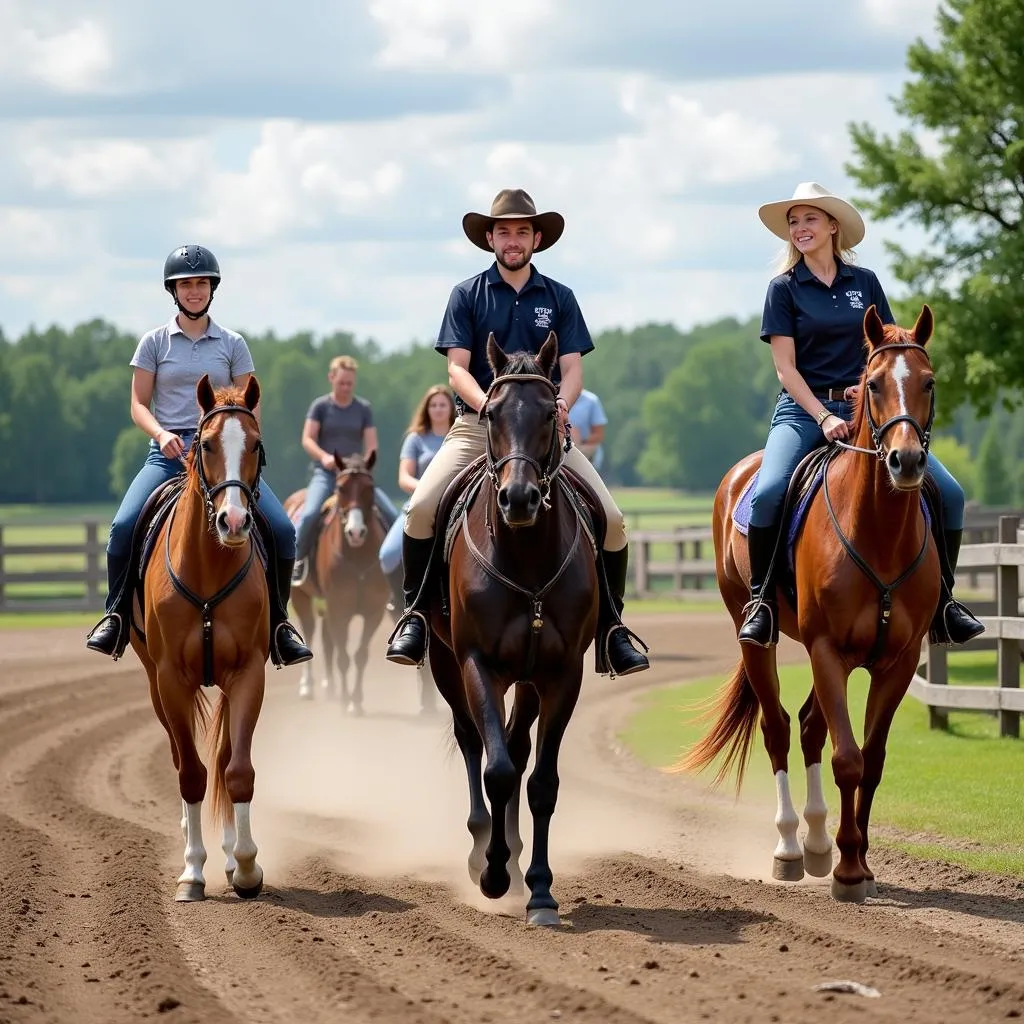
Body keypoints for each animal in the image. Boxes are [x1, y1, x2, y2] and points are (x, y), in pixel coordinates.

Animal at [130, 372, 270, 901]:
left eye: (255, 444)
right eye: (206, 444)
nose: (233, 521)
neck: (209, 568)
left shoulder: (247, 673)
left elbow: (236, 770)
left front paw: (245, 865)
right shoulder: (171, 679)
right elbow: (191, 774)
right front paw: (192, 872)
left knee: (226, 759)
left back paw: (230, 858)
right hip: (154, 682)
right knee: (179, 757)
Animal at [286, 452, 389, 716]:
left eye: (370, 488)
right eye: (341, 488)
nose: (356, 532)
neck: (358, 555)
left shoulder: (374, 611)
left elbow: (360, 655)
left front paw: (356, 701)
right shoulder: (338, 608)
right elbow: (343, 656)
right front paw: (346, 702)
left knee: (326, 640)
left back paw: (330, 687)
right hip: (302, 597)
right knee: (310, 632)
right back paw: (308, 687)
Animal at [425, 333, 598, 929]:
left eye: (549, 413)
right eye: (492, 413)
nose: (518, 499)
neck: (524, 557)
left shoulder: (562, 673)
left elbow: (540, 781)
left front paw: (541, 891)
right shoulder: (478, 663)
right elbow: (496, 769)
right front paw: (493, 873)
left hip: (526, 679)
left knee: (518, 747)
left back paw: (517, 855)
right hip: (445, 663)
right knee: (473, 740)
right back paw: (484, 846)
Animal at [679, 303, 942, 905]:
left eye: (928, 382)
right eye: (873, 383)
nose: (906, 461)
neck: (879, 534)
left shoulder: (897, 662)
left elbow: (871, 760)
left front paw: (858, 861)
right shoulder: (827, 650)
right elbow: (847, 759)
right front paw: (847, 872)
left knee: (807, 727)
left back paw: (820, 842)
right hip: (759, 639)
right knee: (778, 727)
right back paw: (791, 850)